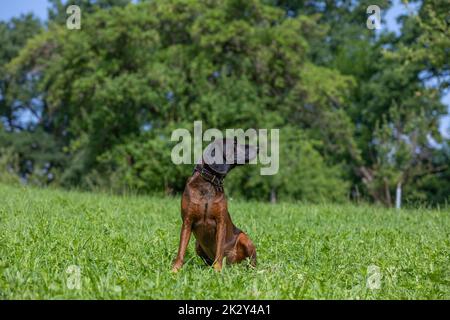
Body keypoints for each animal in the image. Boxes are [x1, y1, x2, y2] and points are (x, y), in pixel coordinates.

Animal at [171, 138, 256, 272]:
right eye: (235, 144)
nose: (258, 147)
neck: (209, 182)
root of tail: (232, 264)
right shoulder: (187, 221)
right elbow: (181, 250)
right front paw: (175, 270)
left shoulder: (221, 222)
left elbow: (219, 251)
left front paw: (217, 270)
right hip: (197, 245)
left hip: (245, 239)